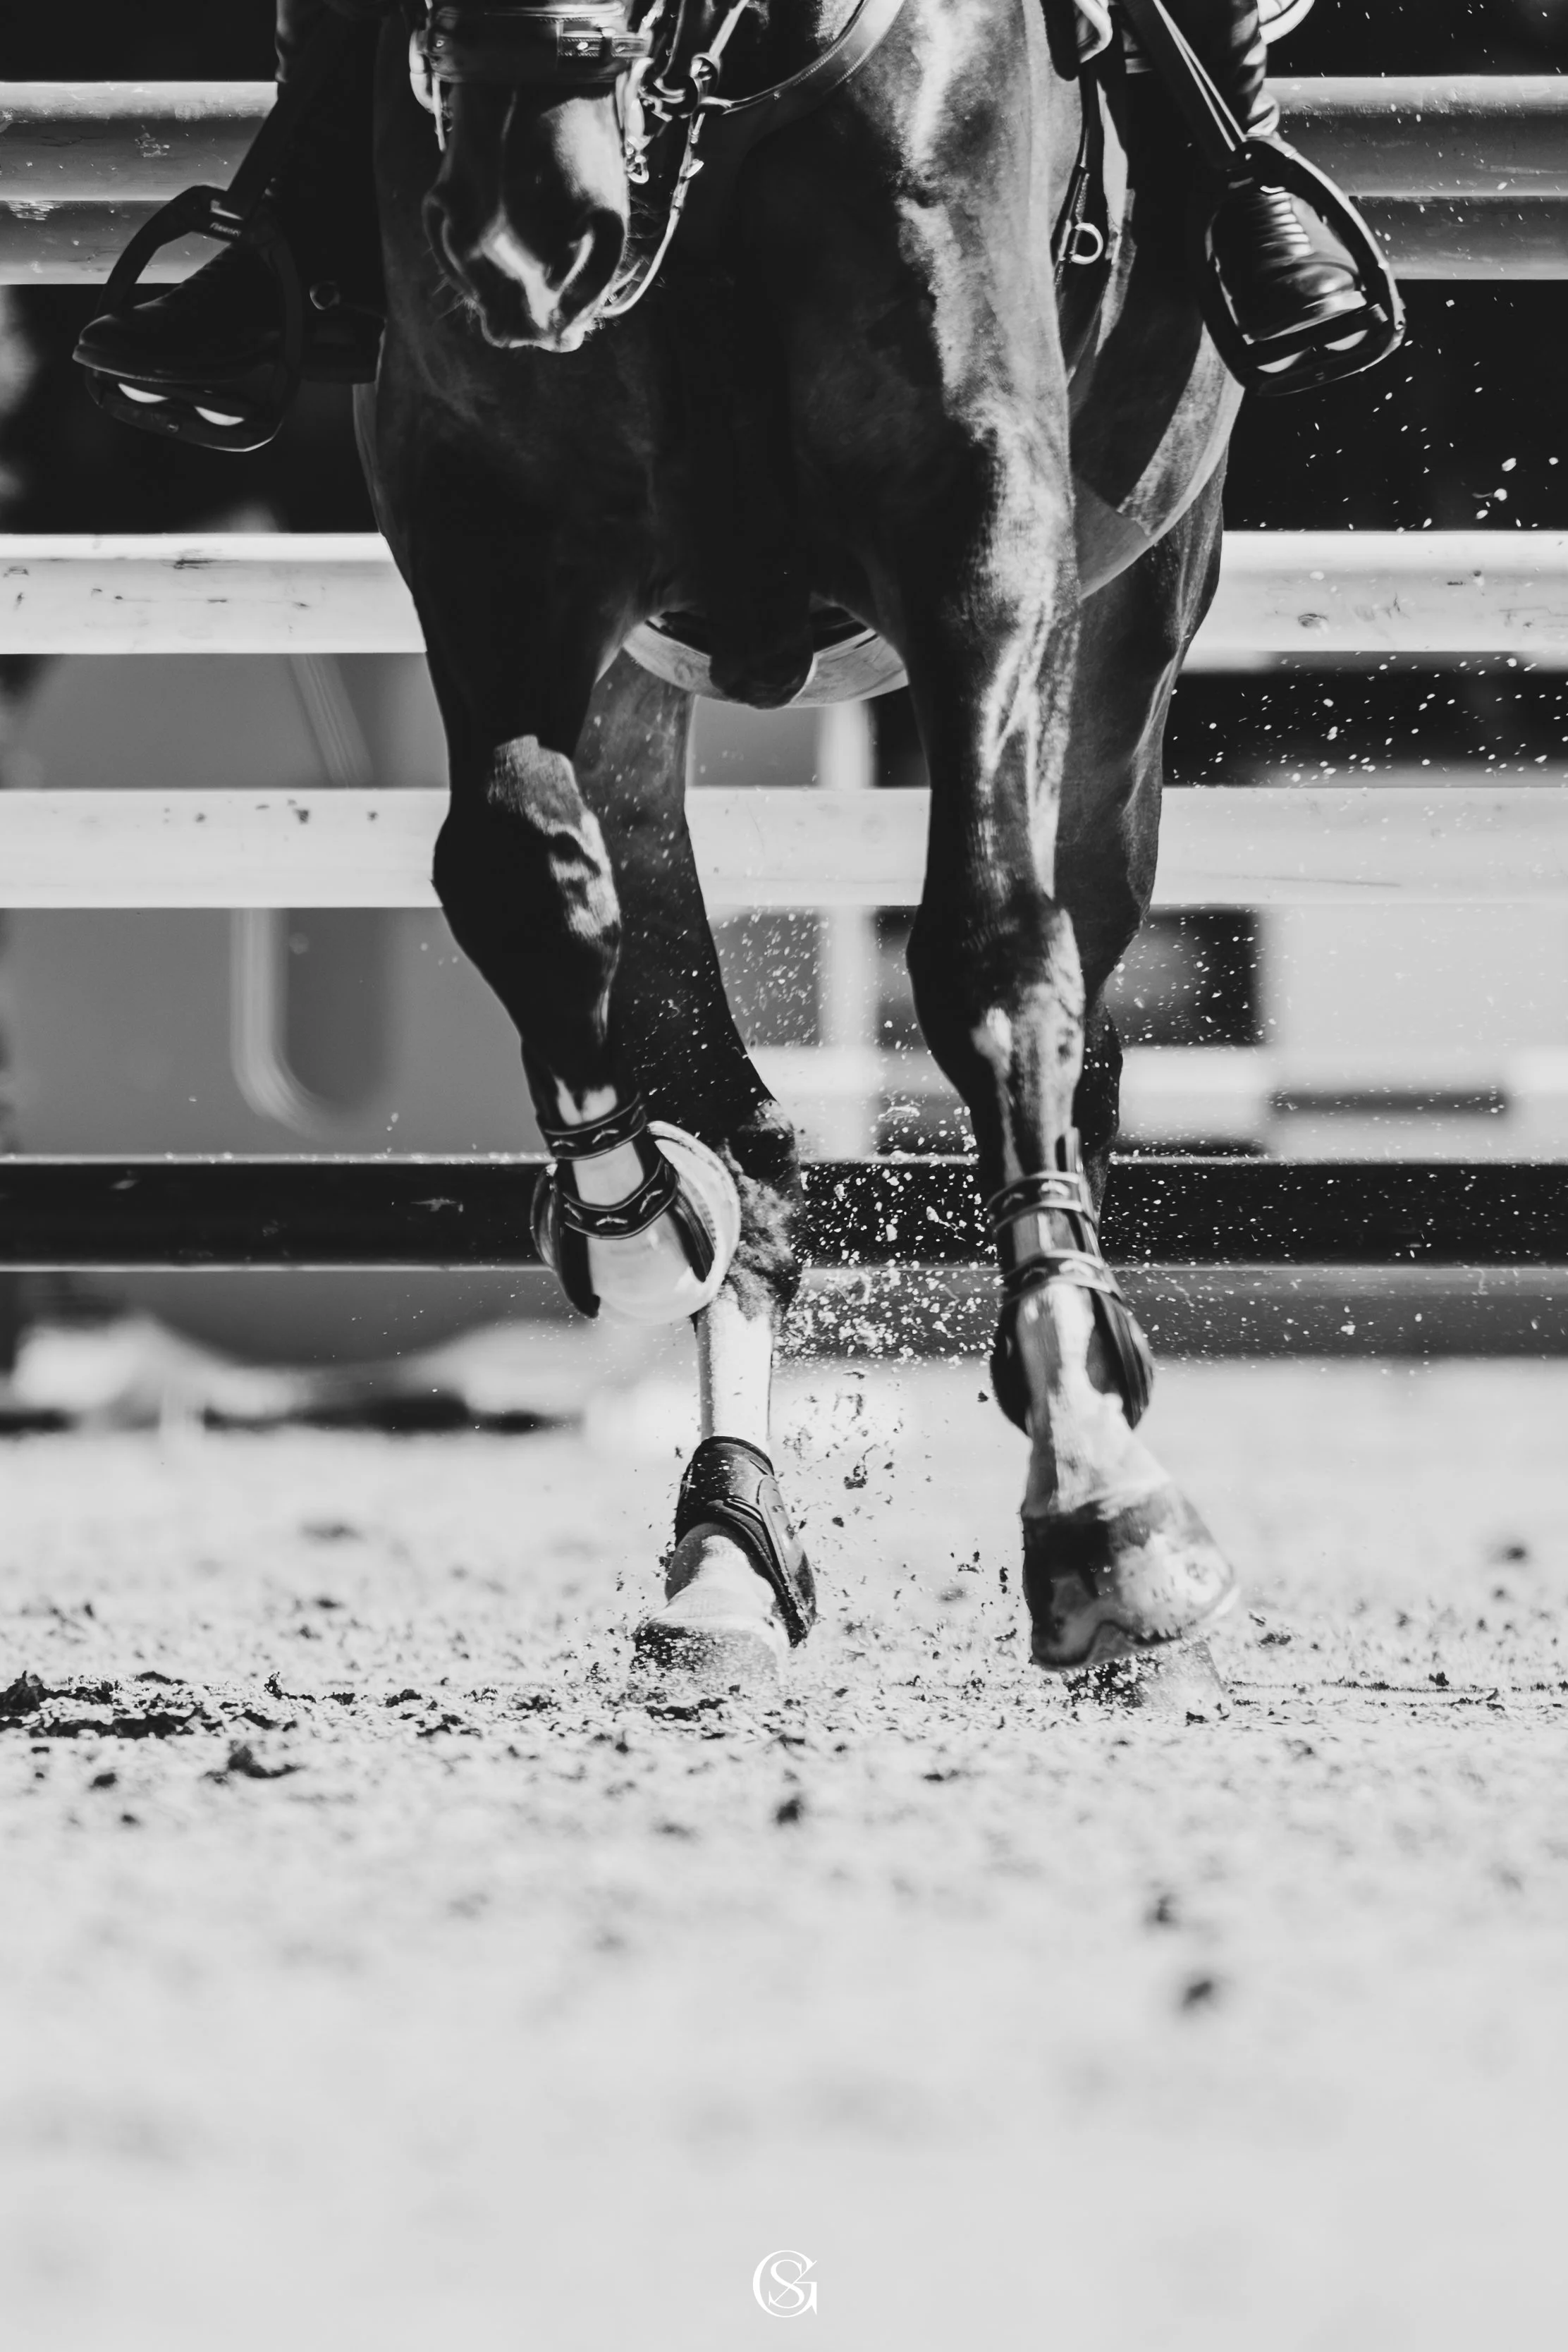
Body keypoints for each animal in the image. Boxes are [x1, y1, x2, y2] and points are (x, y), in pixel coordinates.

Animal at [363, 0, 1246, 1681]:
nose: (523, 239)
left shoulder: (982, 531)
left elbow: (990, 954)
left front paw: (1095, 1494)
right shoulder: (489, 527)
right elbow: (519, 879)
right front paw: (640, 1225)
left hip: (1125, 643)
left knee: (1081, 966)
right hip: (635, 688)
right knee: (682, 1026)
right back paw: (724, 1534)